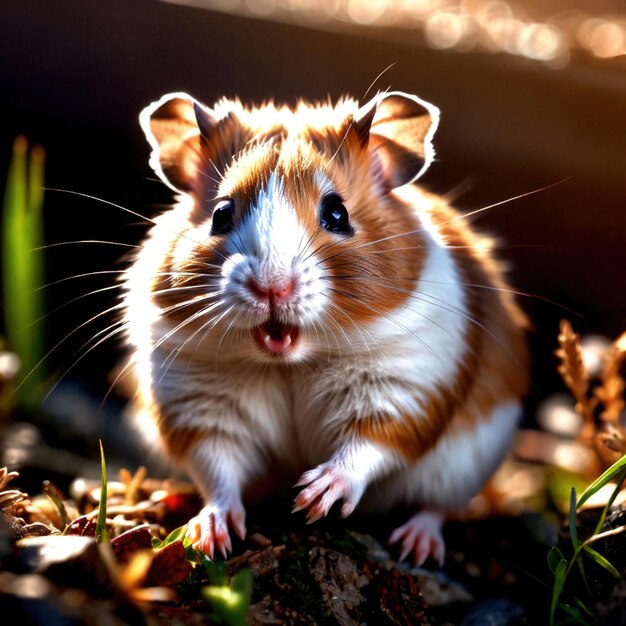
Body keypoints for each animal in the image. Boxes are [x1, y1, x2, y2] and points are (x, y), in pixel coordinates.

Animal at [122, 89, 528, 564]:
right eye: (220, 214)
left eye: (337, 213)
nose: (271, 287)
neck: (291, 362)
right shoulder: (199, 404)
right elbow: (219, 471)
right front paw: (208, 536)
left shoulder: (404, 390)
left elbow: (366, 446)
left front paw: (312, 499)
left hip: (461, 468)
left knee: (436, 507)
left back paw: (415, 547)